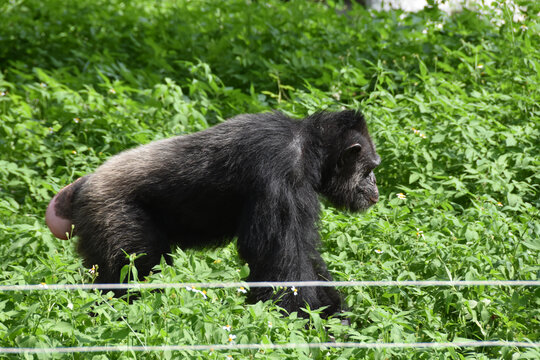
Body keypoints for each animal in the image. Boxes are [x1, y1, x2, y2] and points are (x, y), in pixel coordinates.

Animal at [46, 110, 380, 318]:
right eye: (370, 168)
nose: (375, 183)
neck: (311, 148)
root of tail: (79, 187)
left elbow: (307, 255)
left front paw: (336, 315)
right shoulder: (280, 174)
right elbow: (281, 259)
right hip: (112, 215)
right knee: (133, 271)